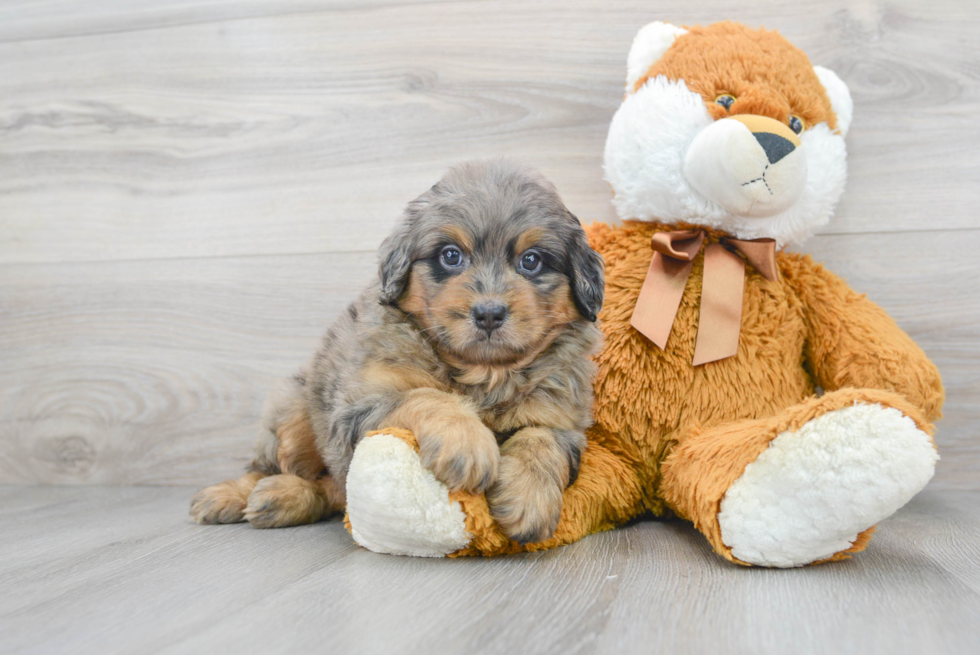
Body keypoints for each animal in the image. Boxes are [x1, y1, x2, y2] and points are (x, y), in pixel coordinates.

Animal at [189, 159, 604, 544]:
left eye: (531, 260)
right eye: (451, 256)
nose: (488, 313)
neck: (482, 373)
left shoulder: (563, 420)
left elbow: (540, 440)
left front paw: (529, 500)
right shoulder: (358, 406)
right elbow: (426, 395)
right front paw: (466, 442)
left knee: (333, 491)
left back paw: (282, 499)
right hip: (292, 411)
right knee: (277, 468)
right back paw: (235, 495)